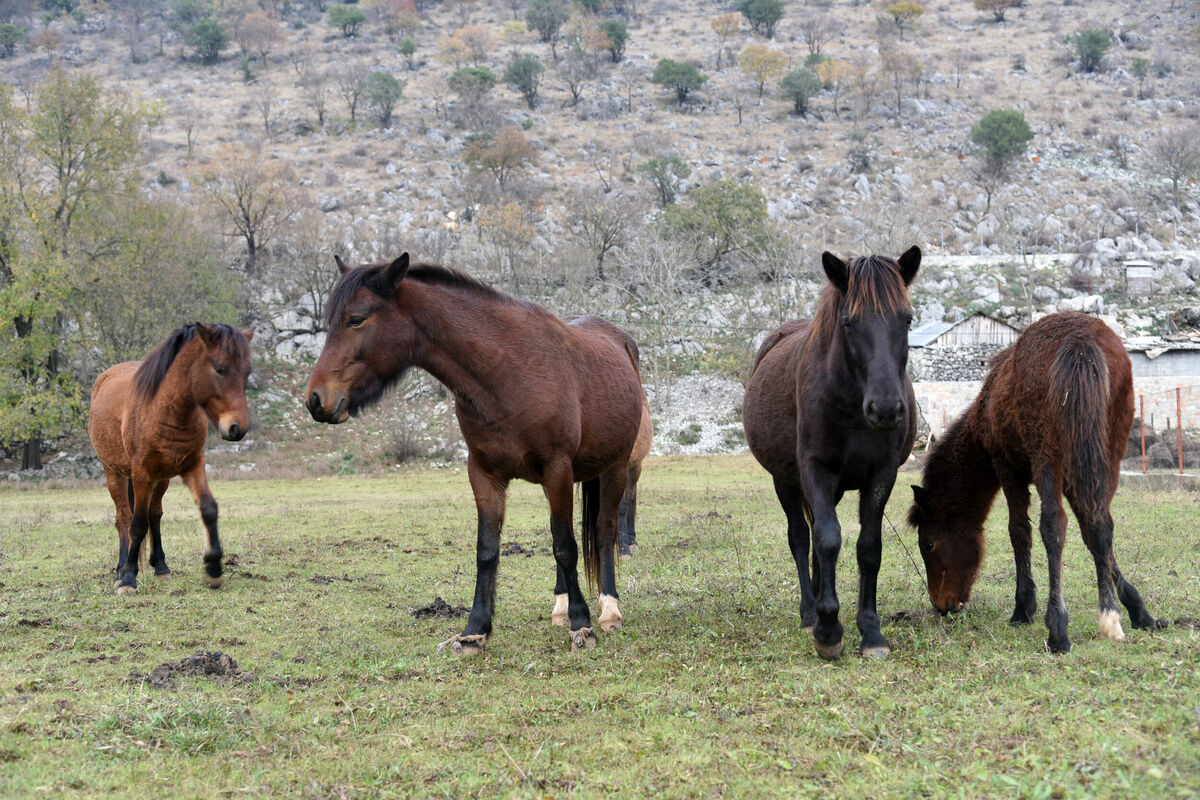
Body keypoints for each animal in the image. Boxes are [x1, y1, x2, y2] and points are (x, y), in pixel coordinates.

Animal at [88, 323, 253, 595]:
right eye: (219, 369)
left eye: (247, 372)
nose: (236, 428)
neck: (165, 409)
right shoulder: (141, 474)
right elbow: (137, 524)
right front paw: (129, 579)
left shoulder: (193, 466)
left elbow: (208, 509)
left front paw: (213, 569)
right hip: (114, 473)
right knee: (123, 518)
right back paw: (120, 570)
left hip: (161, 479)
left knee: (155, 515)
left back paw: (161, 566)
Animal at [305, 253, 644, 654]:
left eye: (356, 318)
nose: (316, 399)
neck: (506, 370)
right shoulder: (484, 474)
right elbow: (488, 551)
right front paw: (475, 630)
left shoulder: (557, 469)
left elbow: (565, 546)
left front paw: (583, 623)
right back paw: (560, 606)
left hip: (615, 468)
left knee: (604, 532)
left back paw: (608, 609)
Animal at [743, 247, 920, 660]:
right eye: (849, 322)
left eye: (907, 318)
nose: (886, 409)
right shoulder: (815, 471)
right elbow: (826, 539)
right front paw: (828, 630)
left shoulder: (881, 475)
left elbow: (868, 548)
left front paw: (871, 632)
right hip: (785, 481)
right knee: (800, 537)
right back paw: (810, 612)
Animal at [908, 311, 1162, 653]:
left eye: (929, 544)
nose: (941, 605)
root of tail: (1080, 343)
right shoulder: (1073, 475)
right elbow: (1091, 531)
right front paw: (1134, 607)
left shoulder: (1008, 468)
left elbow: (1020, 531)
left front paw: (1024, 607)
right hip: (1106, 453)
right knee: (1102, 522)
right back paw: (1110, 616)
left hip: (1048, 457)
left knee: (1053, 526)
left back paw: (1057, 628)